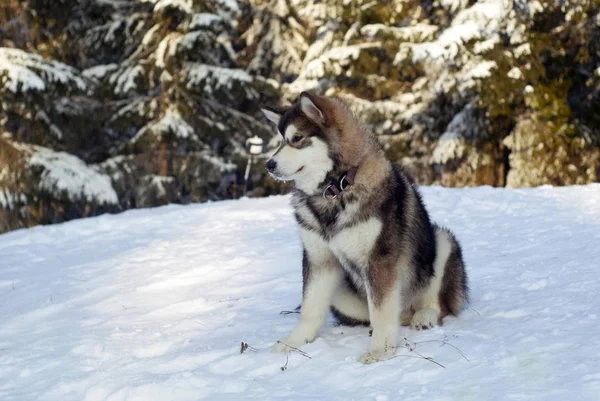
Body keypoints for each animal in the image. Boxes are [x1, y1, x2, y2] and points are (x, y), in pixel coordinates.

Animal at [260, 91, 466, 362]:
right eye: (280, 141)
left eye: (296, 138)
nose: (269, 165)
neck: (336, 189)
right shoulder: (319, 259)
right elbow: (310, 307)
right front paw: (294, 342)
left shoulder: (379, 259)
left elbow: (381, 311)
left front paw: (380, 350)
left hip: (441, 242)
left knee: (437, 303)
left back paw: (425, 316)